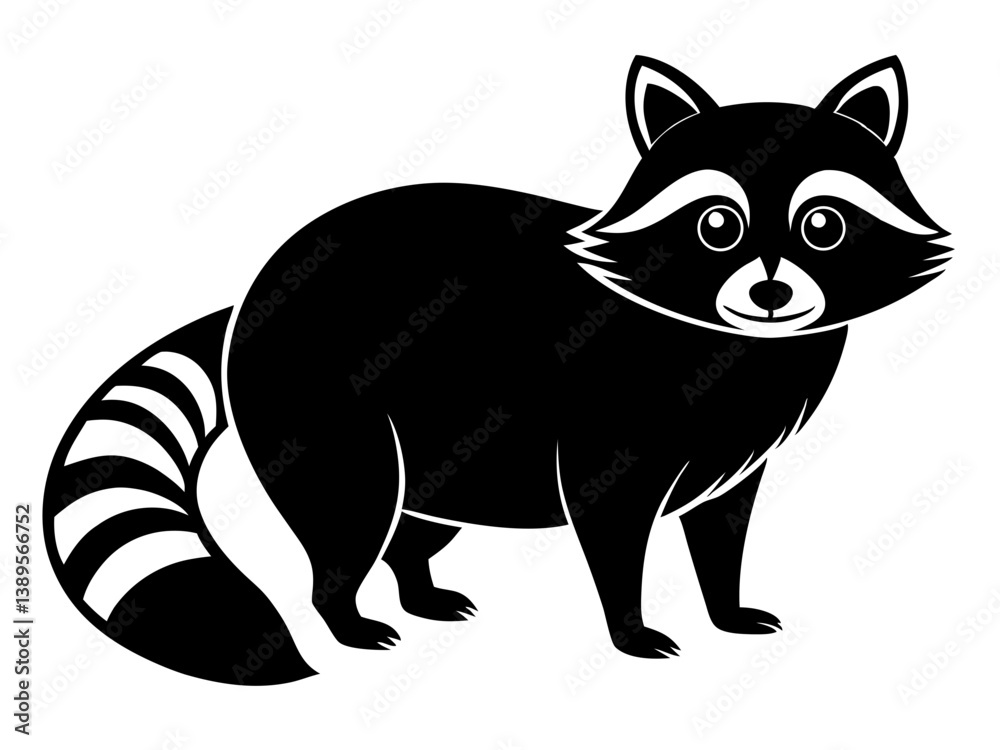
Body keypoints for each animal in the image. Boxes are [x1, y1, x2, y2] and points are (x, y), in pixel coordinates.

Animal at [43, 55, 949, 684]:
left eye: (823, 225)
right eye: (717, 225)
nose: (768, 292)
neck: (735, 347)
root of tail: (254, 294)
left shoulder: (737, 441)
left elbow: (722, 526)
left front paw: (723, 605)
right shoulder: (614, 413)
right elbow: (611, 524)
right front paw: (630, 626)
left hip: (451, 456)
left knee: (411, 526)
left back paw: (415, 585)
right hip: (324, 403)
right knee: (349, 514)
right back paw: (344, 613)